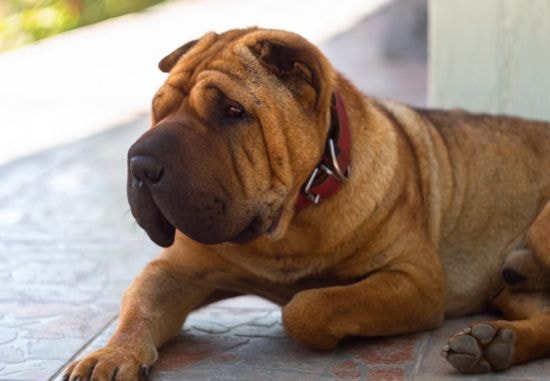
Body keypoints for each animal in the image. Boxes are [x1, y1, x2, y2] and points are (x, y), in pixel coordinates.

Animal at [63, 27, 550, 380]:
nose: (141, 164)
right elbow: (138, 306)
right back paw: (492, 343)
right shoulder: (175, 270)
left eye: (232, 111)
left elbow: (307, 307)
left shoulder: (414, 277)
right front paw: (111, 355)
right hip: (515, 295)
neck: (291, 223)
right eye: (159, 109)